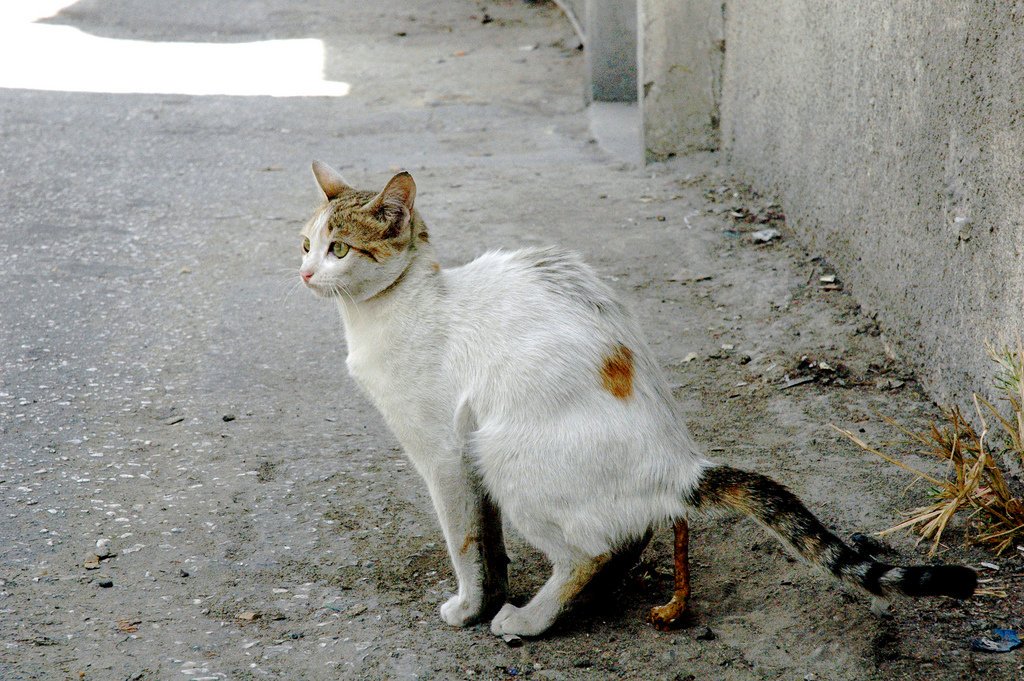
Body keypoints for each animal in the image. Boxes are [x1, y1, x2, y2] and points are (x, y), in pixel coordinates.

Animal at [296, 160, 974, 639]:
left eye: (339, 249)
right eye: (304, 244)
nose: (303, 274)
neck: (387, 313)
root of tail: (681, 462)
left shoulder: (446, 459)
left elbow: (464, 545)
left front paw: (469, 606)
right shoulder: (465, 466)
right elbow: (488, 544)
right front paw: (490, 590)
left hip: (502, 452)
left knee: (588, 552)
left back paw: (529, 620)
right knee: (623, 538)